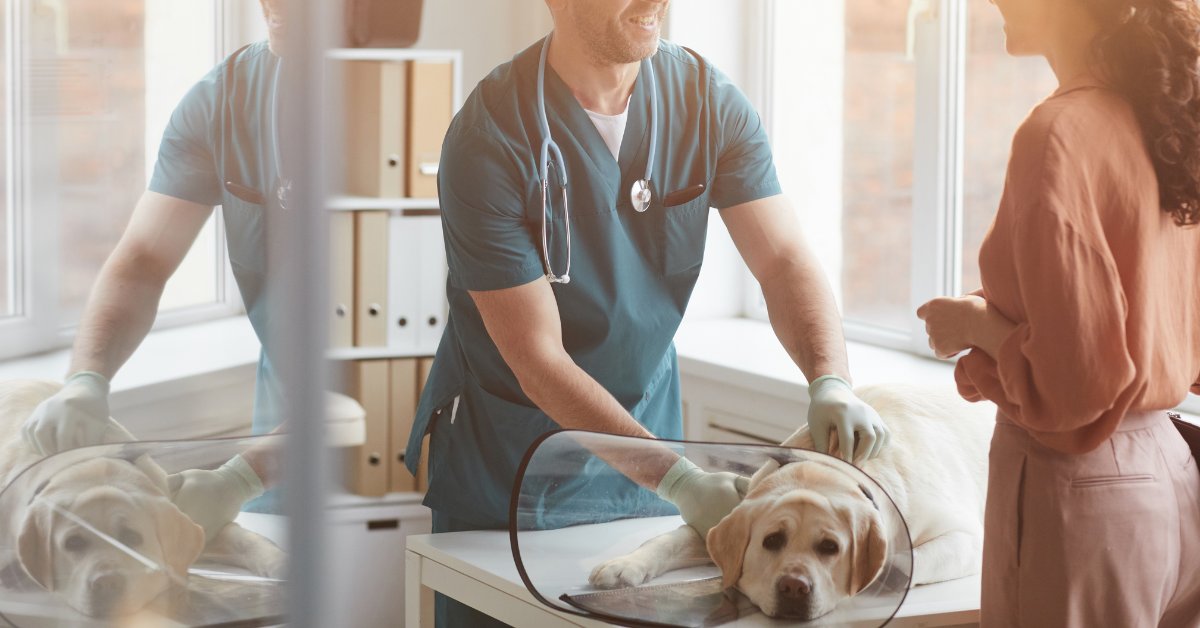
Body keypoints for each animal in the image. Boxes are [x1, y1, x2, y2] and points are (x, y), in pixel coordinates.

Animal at [590, 386, 993, 619]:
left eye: (829, 547)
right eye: (771, 542)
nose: (794, 588)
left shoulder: (967, 539)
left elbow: (907, 561)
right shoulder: (724, 517)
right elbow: (670, 538)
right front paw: (625, 565)